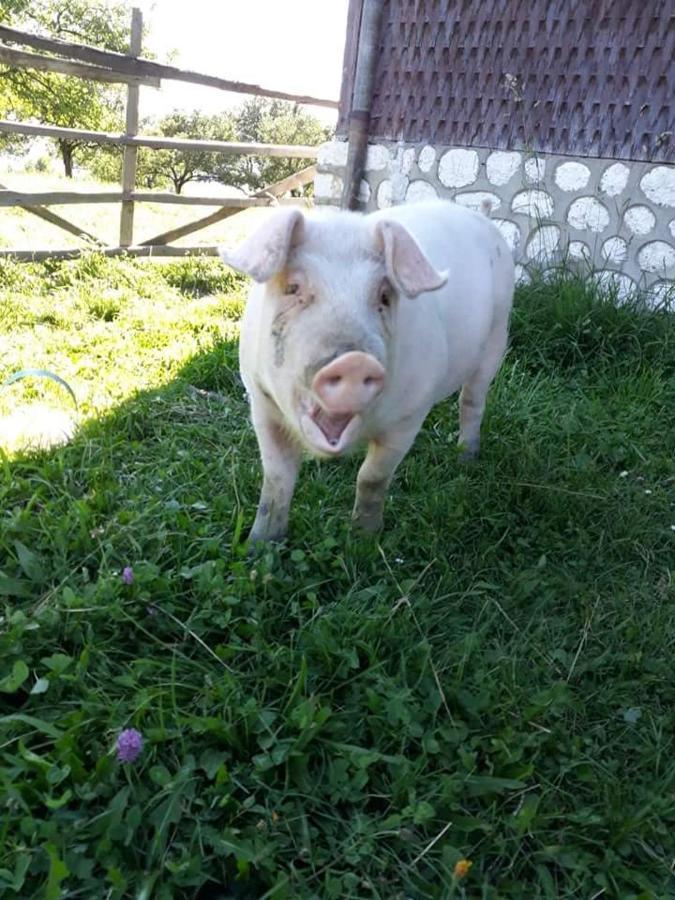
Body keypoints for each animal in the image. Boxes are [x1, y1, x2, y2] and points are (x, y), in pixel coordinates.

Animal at [219, 200, 516, 544]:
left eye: (384, 296)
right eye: (292, 288)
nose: (354, 361)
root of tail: (482, 215)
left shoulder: (410, 414)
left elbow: (372, 477)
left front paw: (364, 539)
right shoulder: (261, 401)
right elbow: (277, 476)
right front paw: (259, 544)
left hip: (497, 335)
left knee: (472, 402)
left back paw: (466, 458)